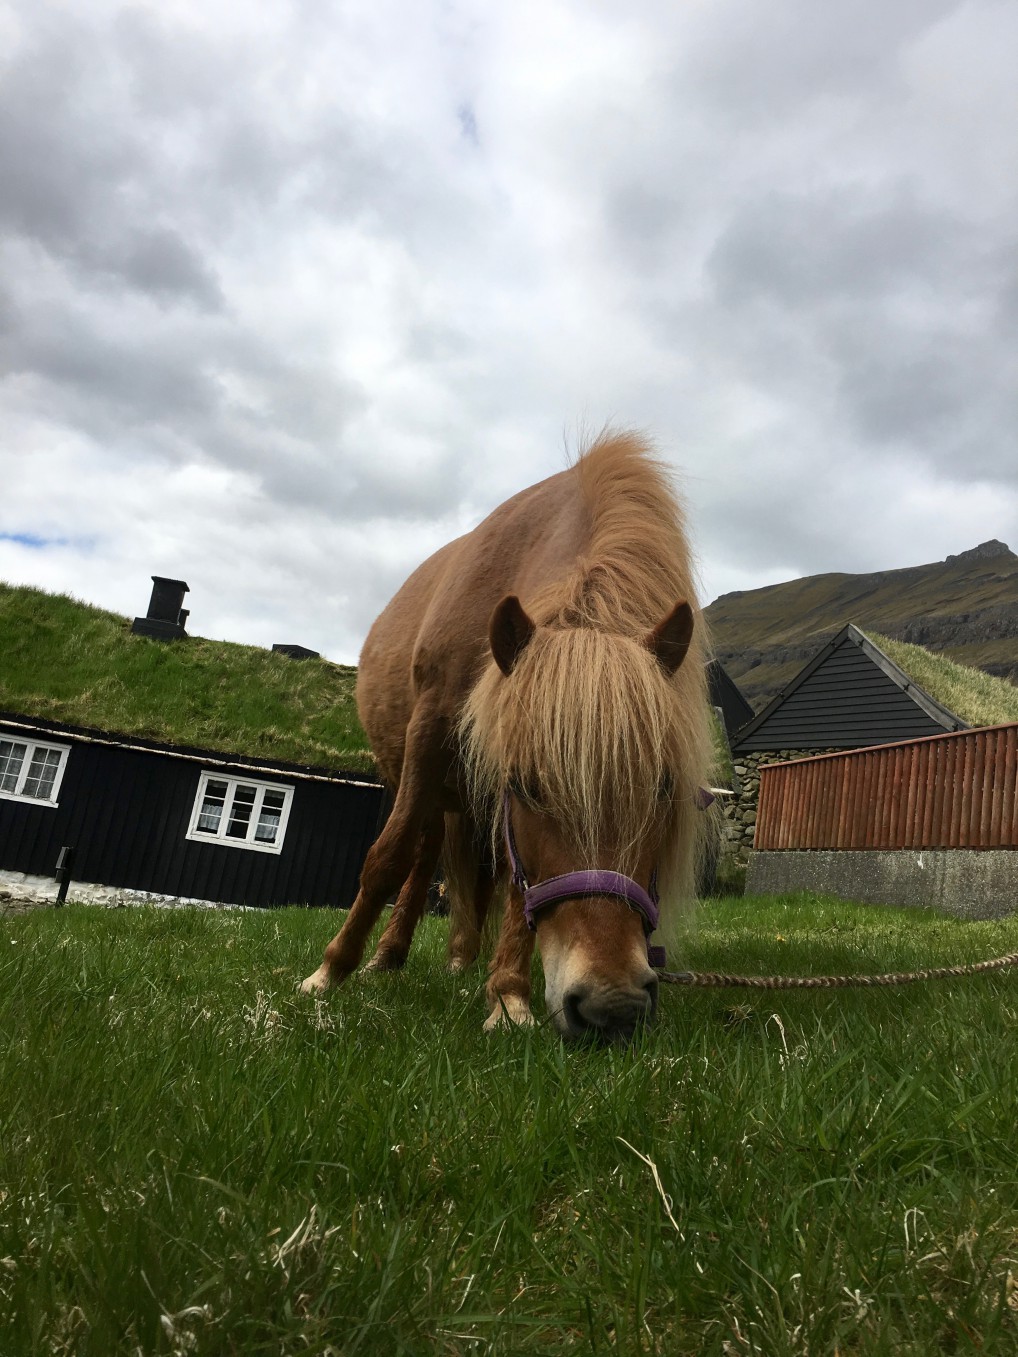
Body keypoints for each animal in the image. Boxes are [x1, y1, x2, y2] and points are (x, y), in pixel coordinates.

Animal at [301, 431, 716, 1036]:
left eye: (662, 788)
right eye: (527, 786)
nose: (613, 1004)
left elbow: (520, 886)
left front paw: (507, 995)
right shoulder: (432, 732)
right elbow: (387, 857)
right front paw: (331, 970)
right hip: (418, 778)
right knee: (422, 853)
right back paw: (388, 955)